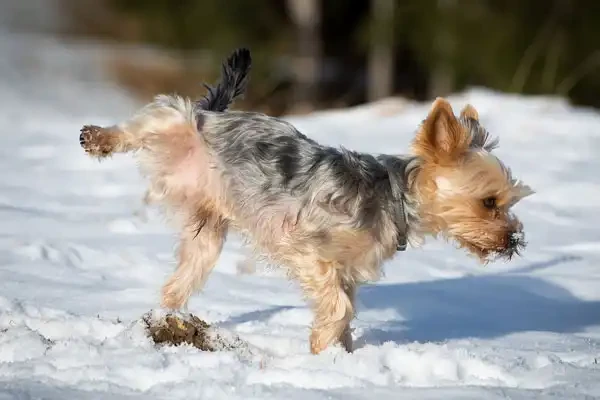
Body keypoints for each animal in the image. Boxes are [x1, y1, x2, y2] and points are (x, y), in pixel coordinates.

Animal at [79, 47, 536, 354]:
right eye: (490, 202)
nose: (514, 240)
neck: (394, 198)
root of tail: (216, 113)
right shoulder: (305, 248)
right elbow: (338, 306)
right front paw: (322, 347)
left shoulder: (348, 271)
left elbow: (345, 308)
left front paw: (340, 357)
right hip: (179, 120)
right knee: (154, 116)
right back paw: (97, 137)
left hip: (206, 233)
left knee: (181, 279)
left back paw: (166, 319)